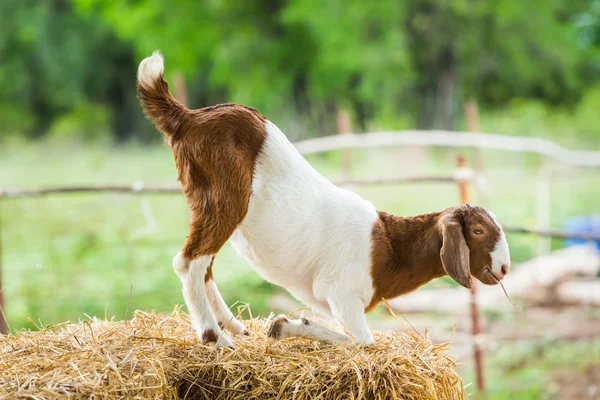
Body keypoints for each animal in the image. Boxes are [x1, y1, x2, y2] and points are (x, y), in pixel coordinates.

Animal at [137, 52, 510, 346]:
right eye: (478, 230)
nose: (504, 268)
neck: (388, 248)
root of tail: (187, 118)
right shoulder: (342, 295)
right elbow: (361, 341)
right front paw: (285, 326)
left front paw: (284, 326)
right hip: (223, 197)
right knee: (190, 262)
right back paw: (215, 339)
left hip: (207, 203)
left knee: (204, 266)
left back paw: (236, 328)